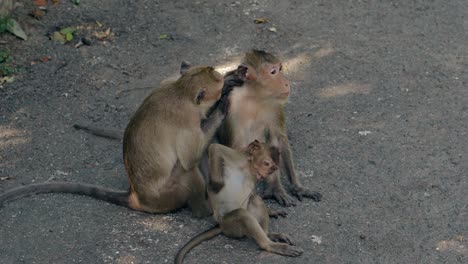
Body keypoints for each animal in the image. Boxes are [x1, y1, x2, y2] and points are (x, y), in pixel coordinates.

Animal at [0, 65, 227, 218]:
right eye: (218, 84)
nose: (223, 79)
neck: (180, 91)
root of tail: (136, 196)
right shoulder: (186, 119)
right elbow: (188, 159)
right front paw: (220, 108)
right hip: (167, 195)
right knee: (186, 170)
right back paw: (204, 212)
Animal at [176, 139, 304, 262]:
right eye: (266, 163)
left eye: (272, 169)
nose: (264, 174)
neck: (248, 167)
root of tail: (220, 225)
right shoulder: (236, 156)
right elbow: (215, 147)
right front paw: (216, 184)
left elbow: (252, 193)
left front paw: (271, 211)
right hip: (230, 225)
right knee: (242, 214)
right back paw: (270, 245)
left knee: (255, 199)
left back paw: (269, 235)